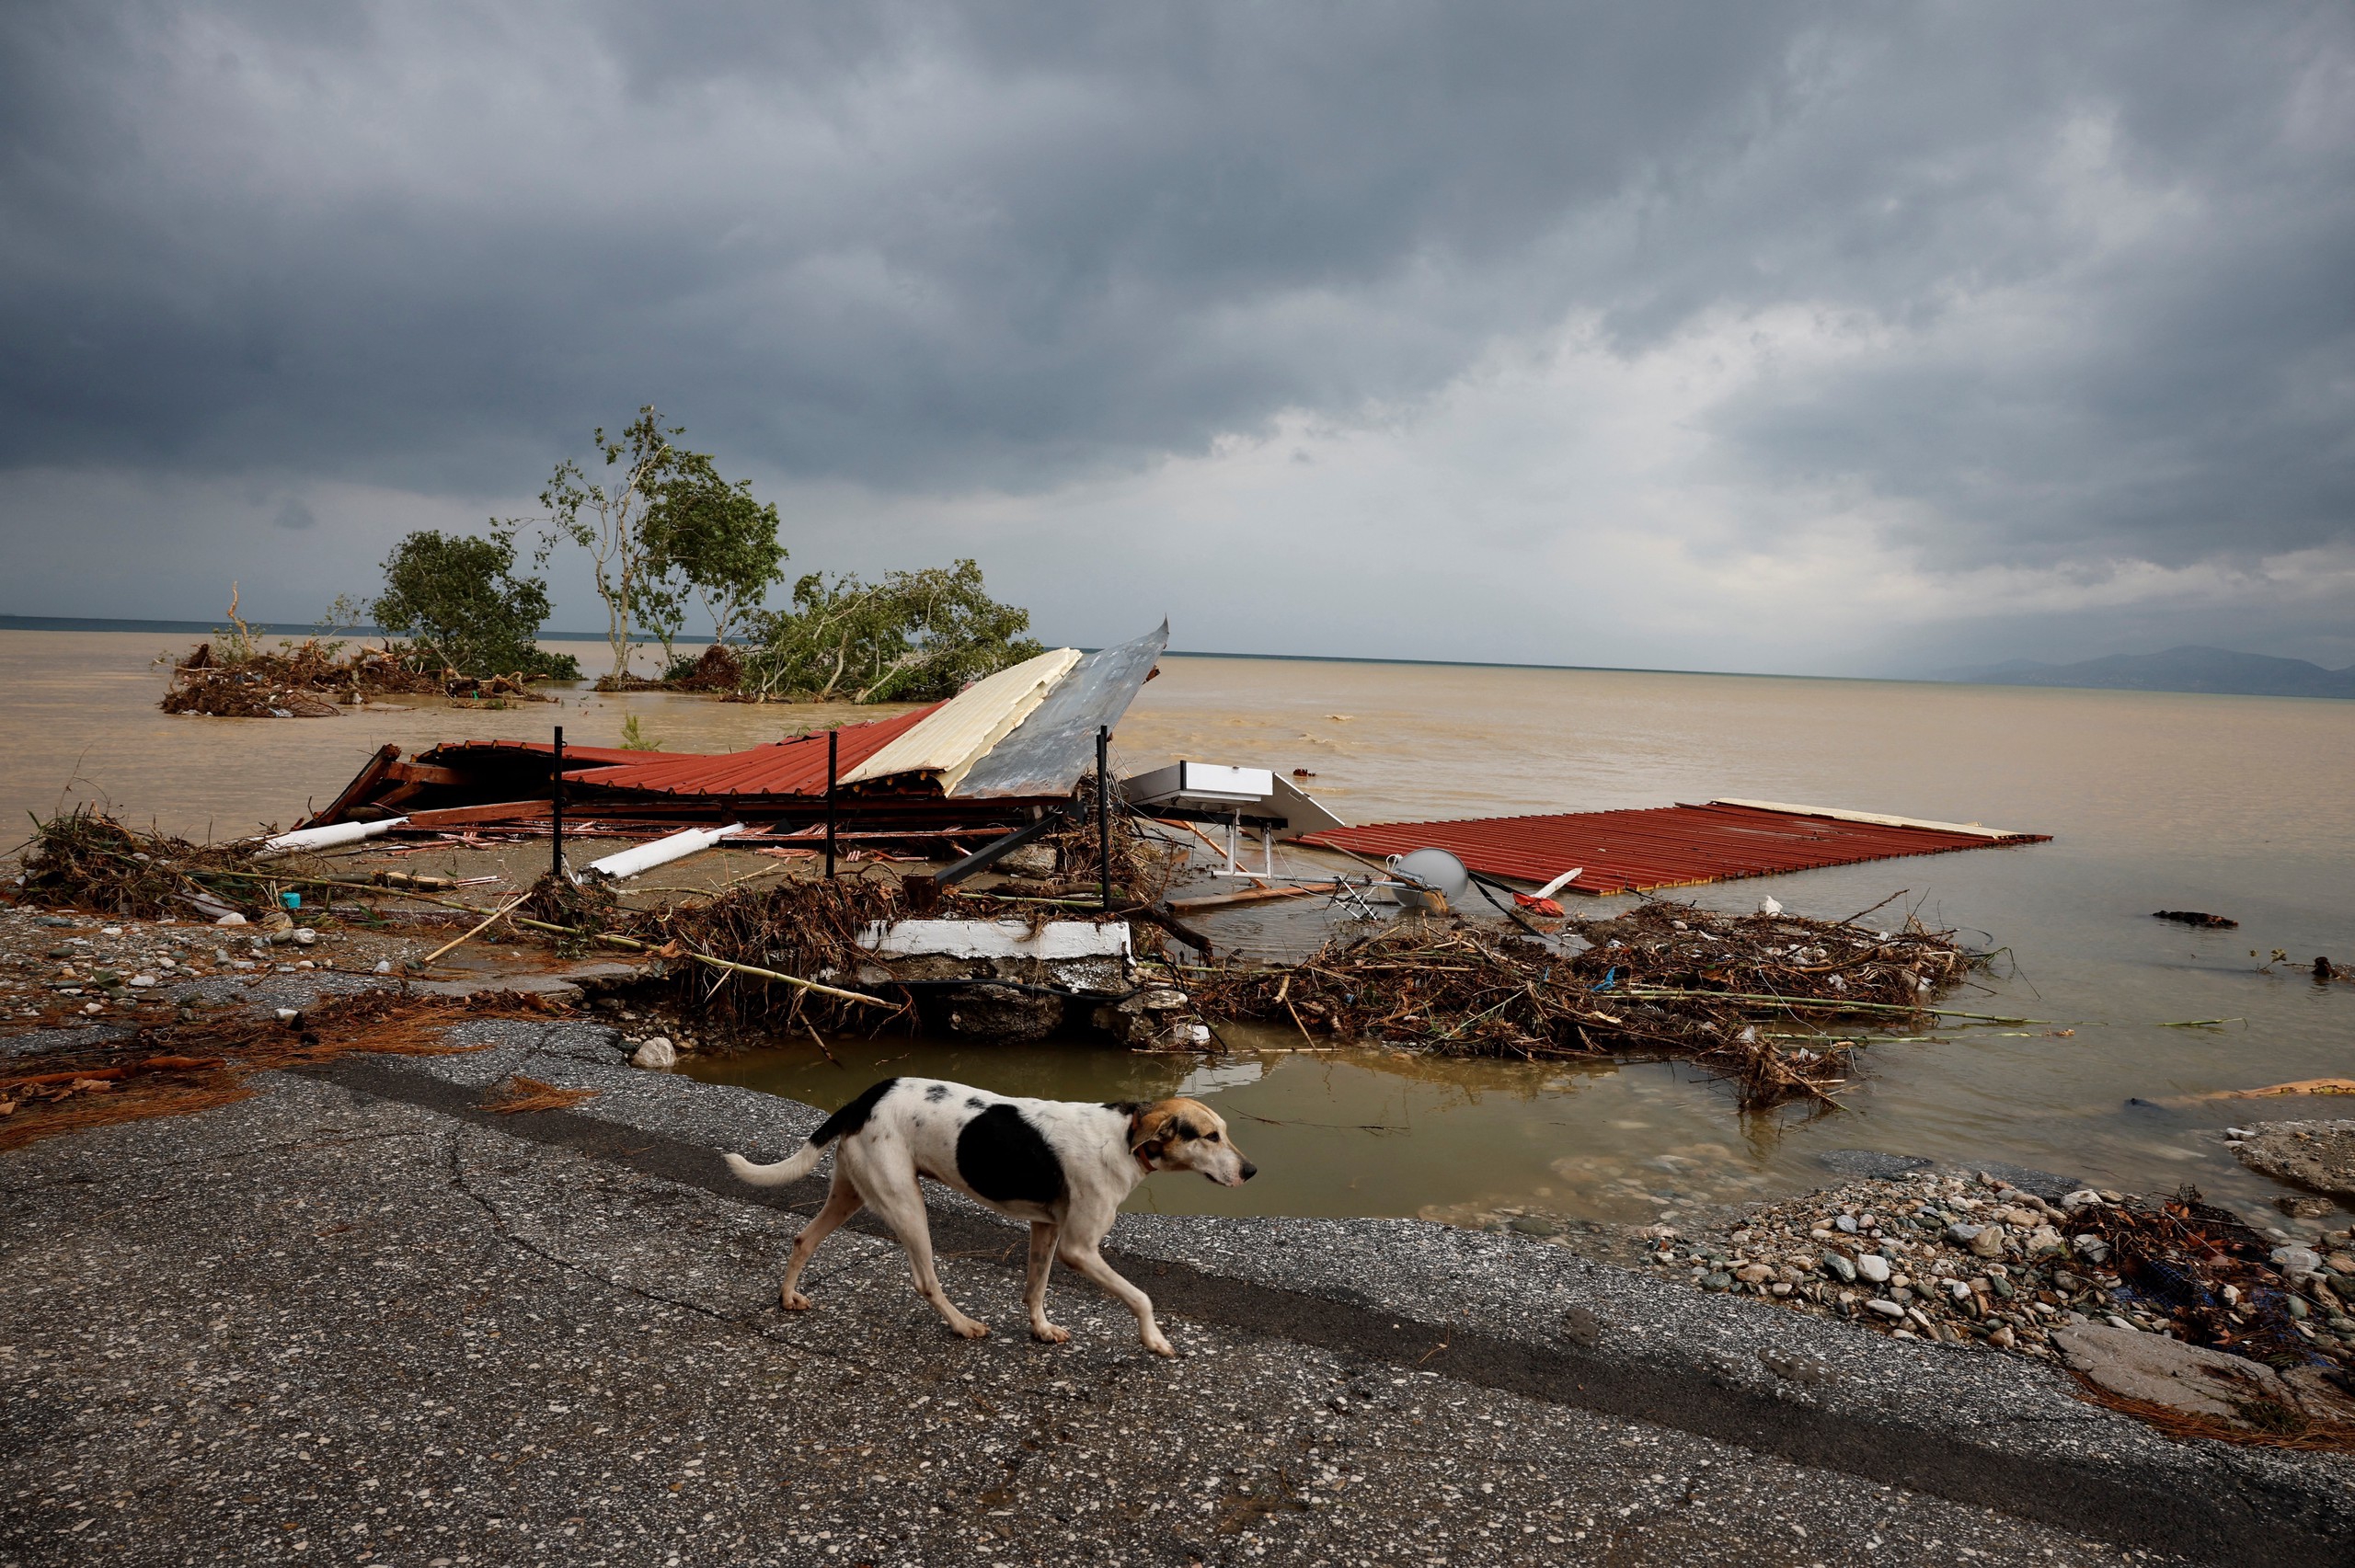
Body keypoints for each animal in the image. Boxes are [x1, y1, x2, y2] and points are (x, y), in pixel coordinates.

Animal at [729, 1073, 1252, 1356]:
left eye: (1225, 1132)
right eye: (1210, 1137)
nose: (1251, 1170)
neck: (1126, 1137)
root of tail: (865, 1097)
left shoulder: (1046, 1229)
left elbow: (1034, 1289)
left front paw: (1041, 1330)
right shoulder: (1080, 1250)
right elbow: (1141, 1296)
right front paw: (1155, 1341)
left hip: (850, 1194)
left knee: (803, 1239)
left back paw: (788, 1298)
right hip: (905, 1205)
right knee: (925, 1280)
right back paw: (962, 1324)